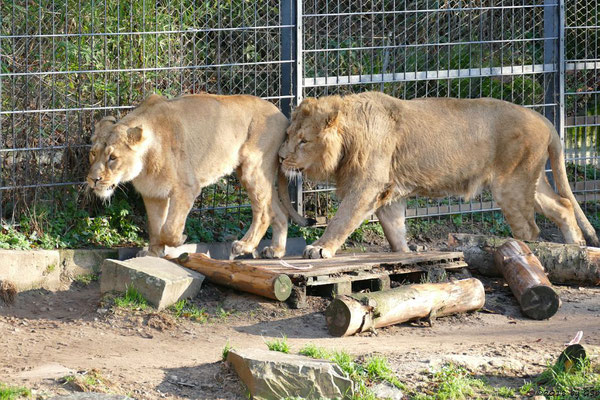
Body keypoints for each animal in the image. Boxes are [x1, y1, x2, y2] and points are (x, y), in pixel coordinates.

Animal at [88, 92, 312, 258]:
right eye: (93, 154)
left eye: (113, 158)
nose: (93, 180)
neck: (144, 163)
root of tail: (282, 116)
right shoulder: (153, 194)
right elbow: (155, 227)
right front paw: (153, 253)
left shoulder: (187, 188)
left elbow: (168, 228)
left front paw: (180, 239)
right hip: (254, 175)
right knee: (278, 212)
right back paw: (276, 250)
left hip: (252, 169)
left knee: (264, 213)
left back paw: (244, 246)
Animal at [278, 91, 596, 260]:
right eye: (289, 135)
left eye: (303, 141)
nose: (280, 157)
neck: (351, 136)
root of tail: (545, 119)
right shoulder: (390, 190)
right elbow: (395, 228)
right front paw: (405, 254)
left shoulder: (367, 185)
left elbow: (342, 219)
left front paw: (320, 249)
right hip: (529, 180)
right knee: (563, 205)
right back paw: (577, 247)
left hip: (512, 186)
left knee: (531, 230)